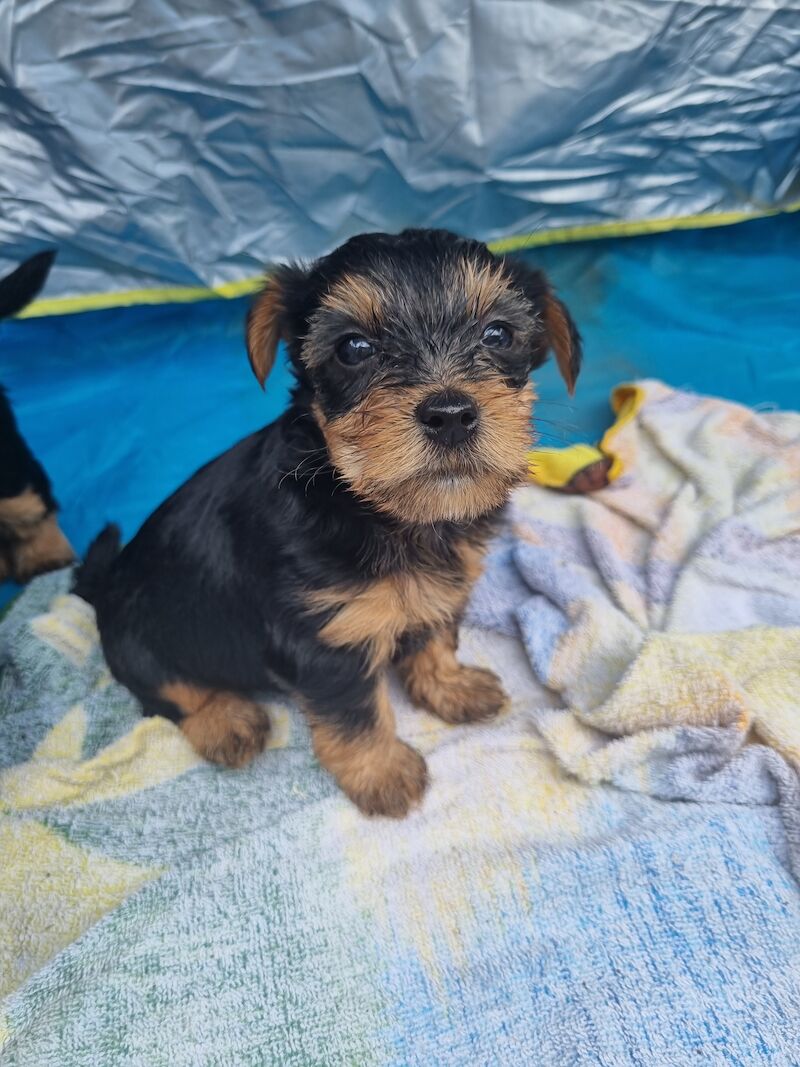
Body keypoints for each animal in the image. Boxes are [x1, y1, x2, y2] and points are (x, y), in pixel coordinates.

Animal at [76, 229, 584, 815]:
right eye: (353, 348)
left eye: (498, 333)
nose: (450, 414)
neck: (376, 508)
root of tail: (104, 587)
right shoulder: (326, 639)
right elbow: (355, 712)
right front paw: (382, 773)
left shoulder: (441, 587)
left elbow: (433, 636)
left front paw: (449, 687)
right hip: (139, 641)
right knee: (167, 693)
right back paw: (227, 721)